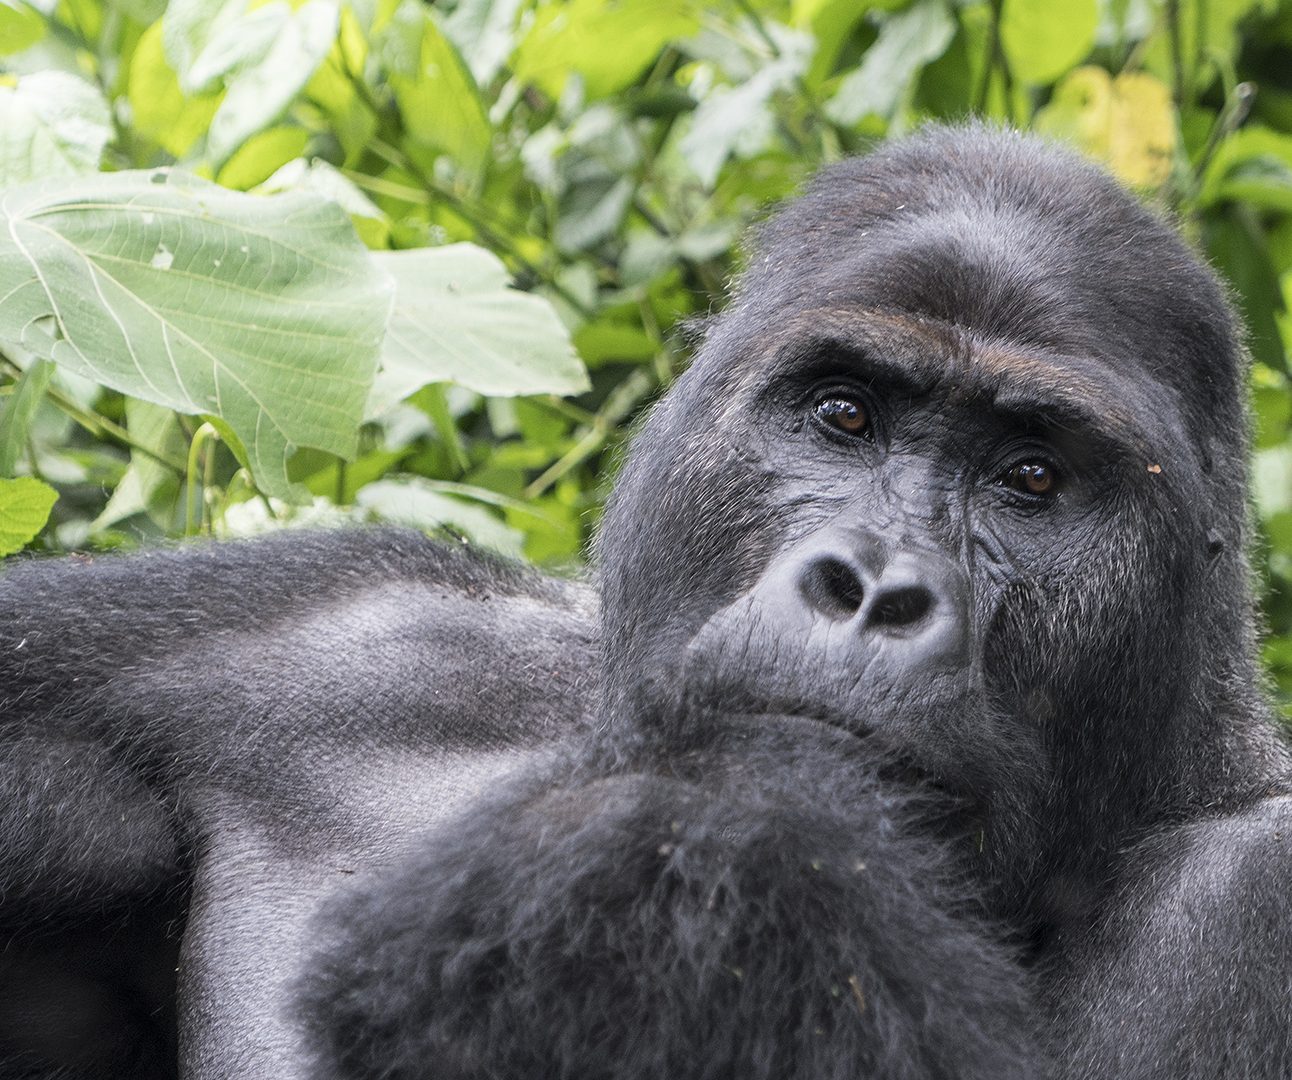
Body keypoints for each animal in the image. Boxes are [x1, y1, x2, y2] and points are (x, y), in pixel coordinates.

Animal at [2, 120, 1292, 1080]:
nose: (870, 589)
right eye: (844, 414)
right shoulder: (339, 620)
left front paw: (664, 871)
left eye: (1029, 479)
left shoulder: (1247, 891)